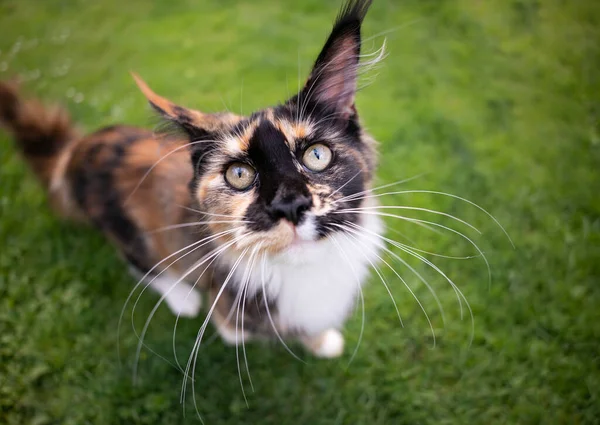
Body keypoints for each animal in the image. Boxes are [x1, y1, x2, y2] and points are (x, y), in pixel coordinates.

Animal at [0, 0, 384, 358]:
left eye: (316, 155)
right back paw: (182, 298)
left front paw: (324, 342)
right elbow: (241, 331)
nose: (289, 205)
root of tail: (79, 148)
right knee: (142, 265)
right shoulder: (230, 302)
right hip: (126, 230)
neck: (305, 269)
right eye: (239, 175)